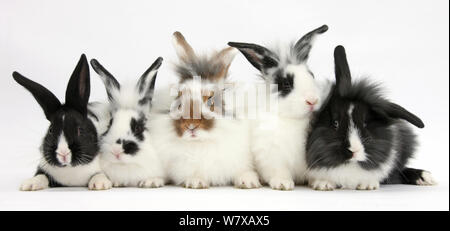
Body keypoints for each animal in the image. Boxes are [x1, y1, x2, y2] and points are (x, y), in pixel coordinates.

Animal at [13, 54, 111, 191]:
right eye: (50, 130)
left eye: (80, 130)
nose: (63, 153)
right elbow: (41, 175)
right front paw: (30, 184)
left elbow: (99, 174)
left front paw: (100, 184)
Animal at [230, 24, 328, 189]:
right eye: (286, 84)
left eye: (312, 75)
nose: (312, 100)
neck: (295, 119)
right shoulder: (272, 154)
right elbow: (279, 170)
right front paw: (283, 184)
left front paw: (323, 184)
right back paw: (248, 181)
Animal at [306, 45, 436, 191]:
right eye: (335, 123)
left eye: (365, 123)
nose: (354, 150)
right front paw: (323, 184)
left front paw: (368, 185)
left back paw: (426, 177)